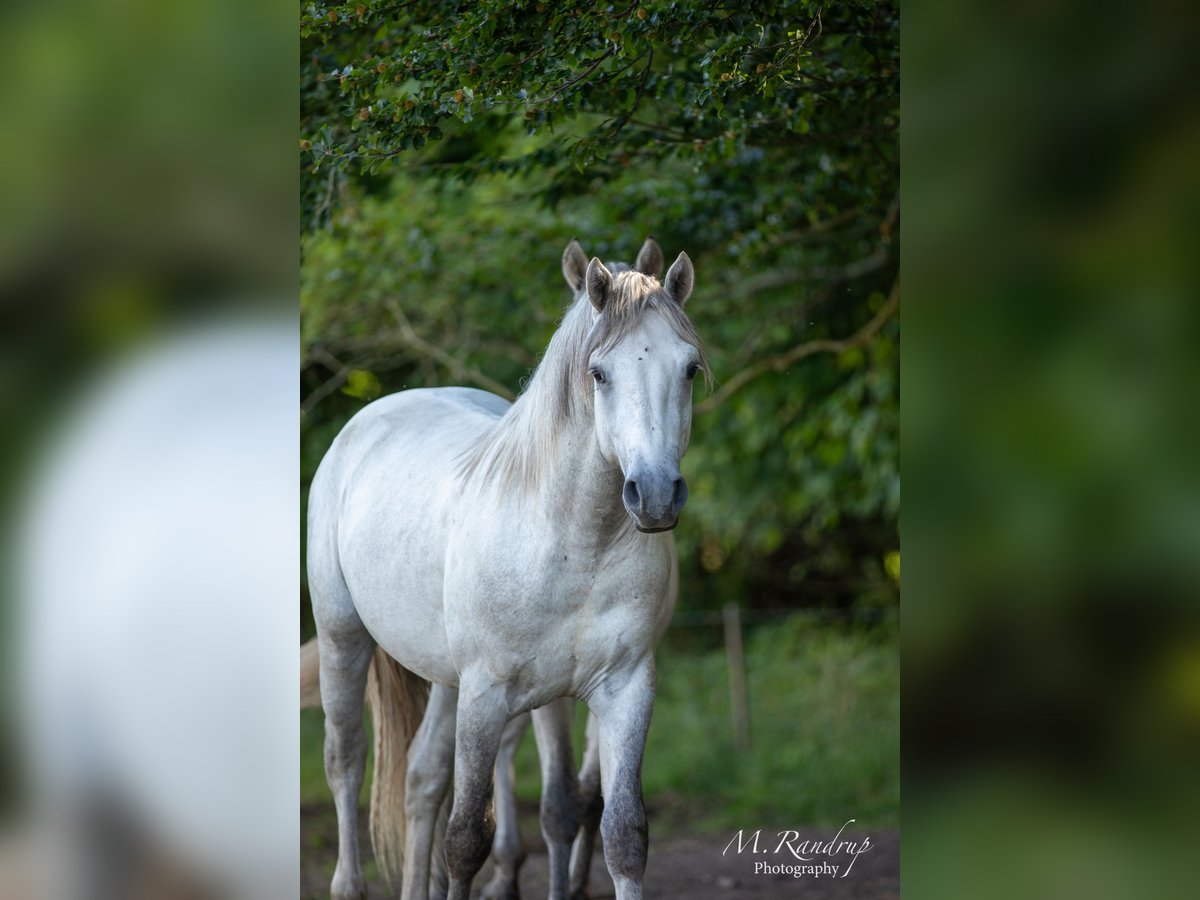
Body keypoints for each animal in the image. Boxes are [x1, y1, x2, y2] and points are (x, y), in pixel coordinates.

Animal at [307, 234, 700, 900]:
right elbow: (469, 836)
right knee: (347, 762)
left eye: (690, 368)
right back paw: (348, 885)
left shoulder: (623, 690)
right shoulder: (489, 695)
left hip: (444, 676)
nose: (653, 495)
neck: (573, 541)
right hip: (344, 640)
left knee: (422, 780)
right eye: (599, 373)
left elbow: (617, 829)